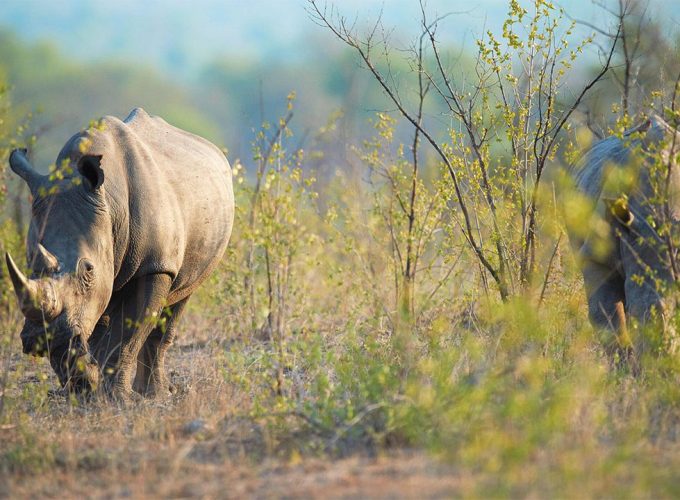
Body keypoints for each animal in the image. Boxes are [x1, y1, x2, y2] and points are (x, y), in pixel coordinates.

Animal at [5, 108, 234, 400]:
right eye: (29, 262)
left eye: (88, 269)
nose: (39, 339)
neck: (111, 206)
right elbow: (86, 336)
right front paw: (86, 393)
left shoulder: (154, 265)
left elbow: (127, 336)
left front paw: (119, 399)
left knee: (180, 298)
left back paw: (156, 394)